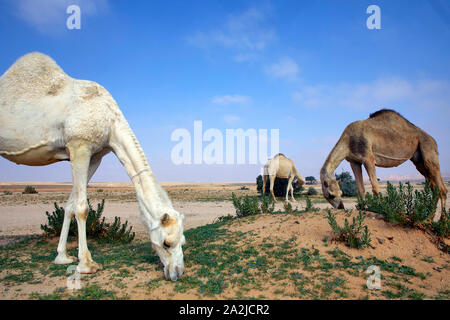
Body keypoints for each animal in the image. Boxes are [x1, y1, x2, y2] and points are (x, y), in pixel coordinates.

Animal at [0, 52, 185, 280]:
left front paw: (62, 257)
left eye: (182, 241)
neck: (109, 118)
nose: (177, 272)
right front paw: (86, 264)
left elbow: (70, 205)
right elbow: (82, 208)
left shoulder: (96, 156)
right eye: (166, 243)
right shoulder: (79, 145)